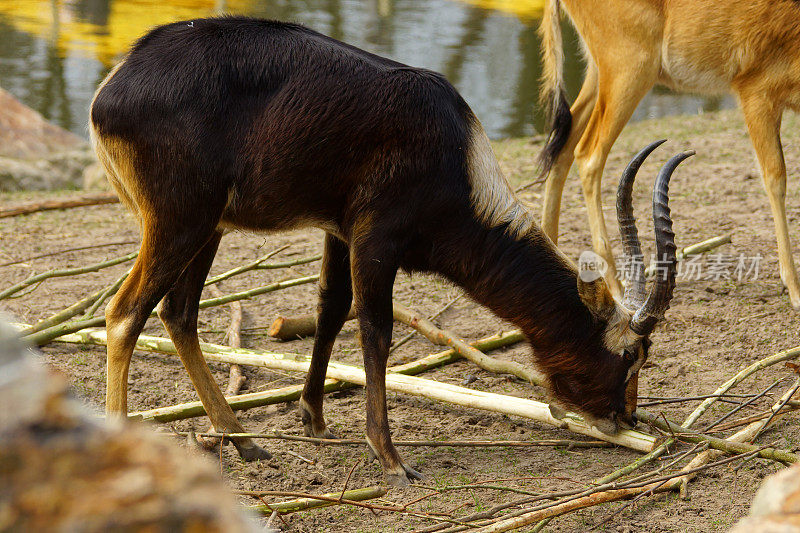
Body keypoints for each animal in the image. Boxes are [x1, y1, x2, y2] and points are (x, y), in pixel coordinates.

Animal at [536, 0, 800, 306]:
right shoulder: (755, 92)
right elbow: (776, 178)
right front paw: (795, 290)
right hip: (630, 66)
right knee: (588, 154)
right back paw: (616, 287)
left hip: (599, 71)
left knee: (563, 144)